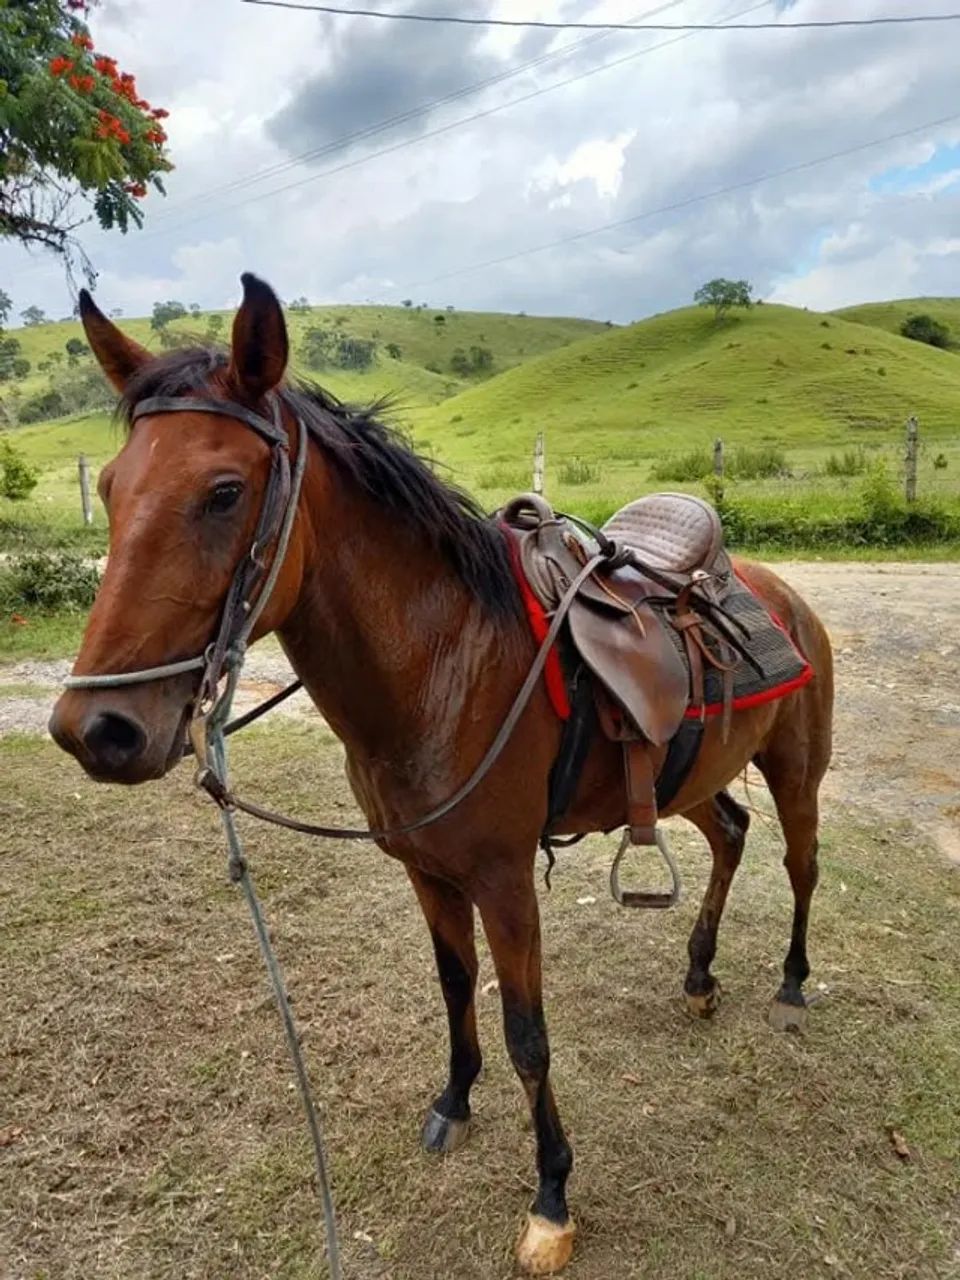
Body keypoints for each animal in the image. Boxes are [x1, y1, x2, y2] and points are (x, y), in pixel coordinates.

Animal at [50, 274, 833, 1276]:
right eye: (111, 489)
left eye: (223, 492)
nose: (95, 731)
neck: (444, 665)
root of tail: (776, 588)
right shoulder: (427, 871)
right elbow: (456, 988)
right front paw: (455, 1102)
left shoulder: (504, 880)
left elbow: (528, 1035)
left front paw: (551, 1199)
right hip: (685, 780)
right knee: (731, 834)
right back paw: (698, 977)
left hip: (798, 769)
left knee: (800, 864)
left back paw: (792, 984)